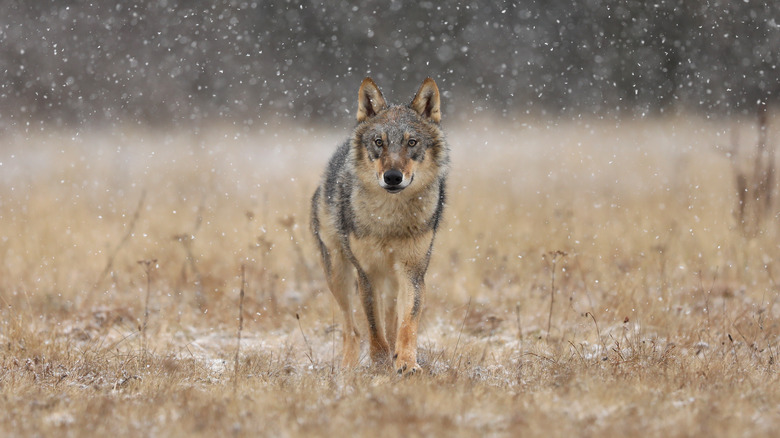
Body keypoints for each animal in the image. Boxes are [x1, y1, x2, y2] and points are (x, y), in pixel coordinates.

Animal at [308, 77, 448, 374]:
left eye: (411, 142)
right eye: (378, 142)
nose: (393, 177)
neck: (390, 219)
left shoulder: (413, 272)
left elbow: (407, 324)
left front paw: (406, 363)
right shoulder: (367, 273)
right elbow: (373, 328)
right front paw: (381, 363)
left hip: (392, 279)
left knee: (392, 321)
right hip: (337, 273)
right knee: (351, 329)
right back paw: (347, 369)